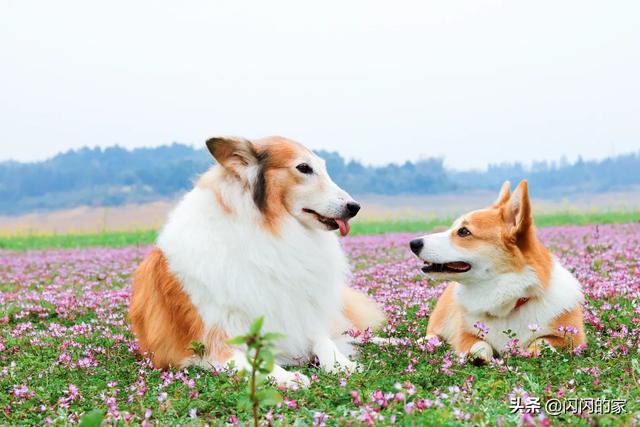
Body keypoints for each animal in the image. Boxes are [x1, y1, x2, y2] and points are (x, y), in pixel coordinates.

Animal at [127, 135, 382, 386]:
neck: (266, 230)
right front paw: (290, 377)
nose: (355, 207)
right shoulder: (215, 345)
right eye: (303, 168)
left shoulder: (303, 314)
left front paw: (345, 365)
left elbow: (324, 340)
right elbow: (253, 362)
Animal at [410, 181, 584, 364]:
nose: (413, 243)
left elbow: (541, 343)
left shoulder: (571, 337)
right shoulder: (463, 333)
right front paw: (478, 357)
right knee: (433, 332)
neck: (510, 302)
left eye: (463, 231)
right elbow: (479, 344)